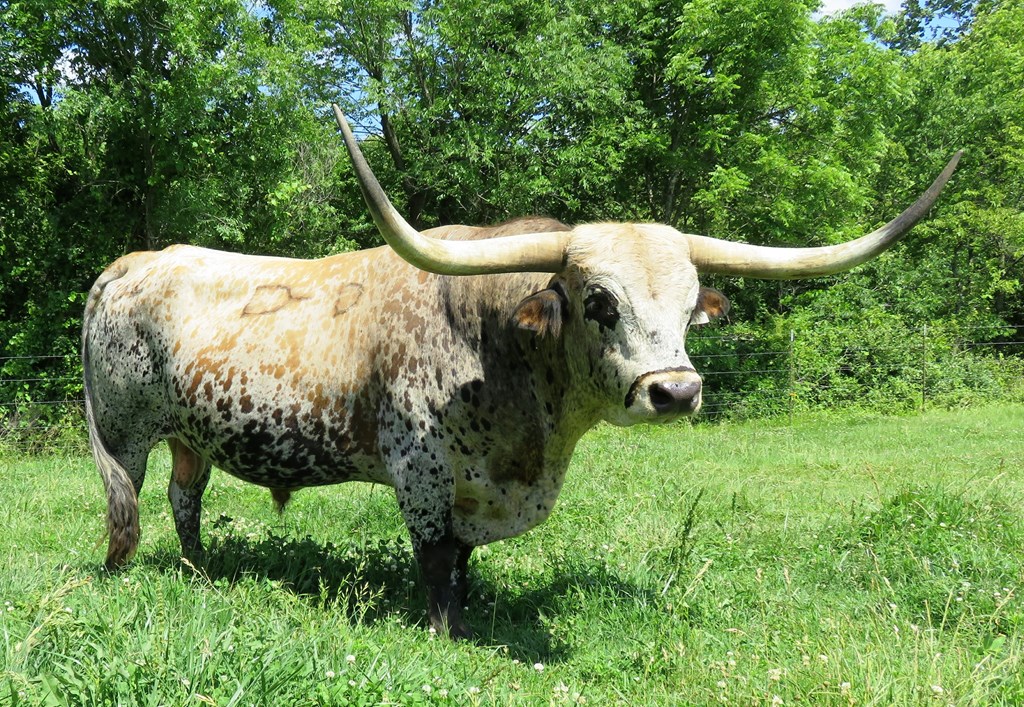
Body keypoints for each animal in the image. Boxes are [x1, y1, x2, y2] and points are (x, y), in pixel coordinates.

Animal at [81, 104, 960, 638]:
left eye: (689, 307)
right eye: (598, 300)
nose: (675, 390)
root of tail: (131, 262)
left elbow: (465, 563)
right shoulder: (422, 470)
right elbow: (437, 560)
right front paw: (443, 632)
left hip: (194, 431)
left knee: (186, 497)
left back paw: (199, 572)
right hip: (125, 431)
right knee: (129, 500)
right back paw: (125, 575)